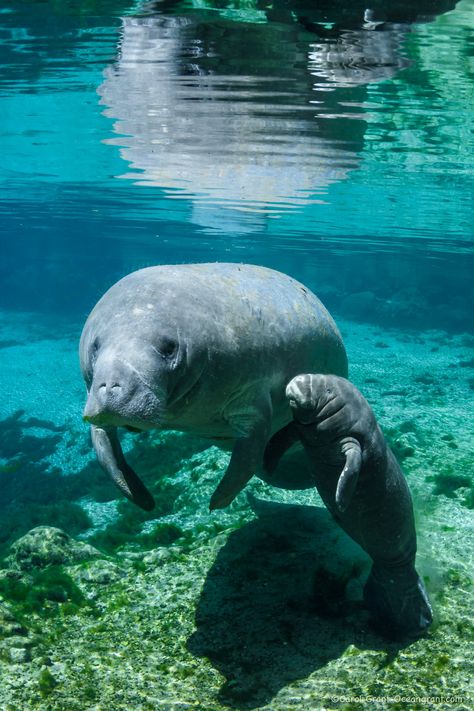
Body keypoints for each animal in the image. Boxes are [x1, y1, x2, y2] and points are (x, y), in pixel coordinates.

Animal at [78, 262, 348, 512]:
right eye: (95, 346)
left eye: (169, 348)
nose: (111, 388)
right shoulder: (91, 396)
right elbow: (106, 449)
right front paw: (143, 500)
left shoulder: (253, 395)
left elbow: (247, 454)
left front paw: (217, 501)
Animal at [264, 372, 432, 640]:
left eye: (328, 390)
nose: (299, 379)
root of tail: (400, 568)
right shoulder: (297, 428)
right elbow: (277, 439)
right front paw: (267, 464)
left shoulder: (354, 442)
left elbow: (349, 472)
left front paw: (340, 503)